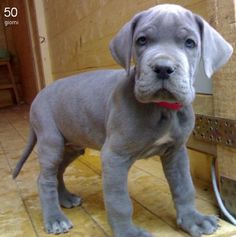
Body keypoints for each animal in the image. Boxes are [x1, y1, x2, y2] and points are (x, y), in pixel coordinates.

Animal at [12, 3, 232, 237]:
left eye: (190, 43)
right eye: (142, 40)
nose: (163, 68)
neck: (161, 108)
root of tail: (39, 94)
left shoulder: (176, 152)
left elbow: (185, 188)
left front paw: (193, 220)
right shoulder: (114, 156)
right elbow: (119, 203)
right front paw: (128, 233)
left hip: (71, 145)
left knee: (57, 172)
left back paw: (65, 199)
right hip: (51, 140)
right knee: (45, 179)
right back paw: (55, 218)